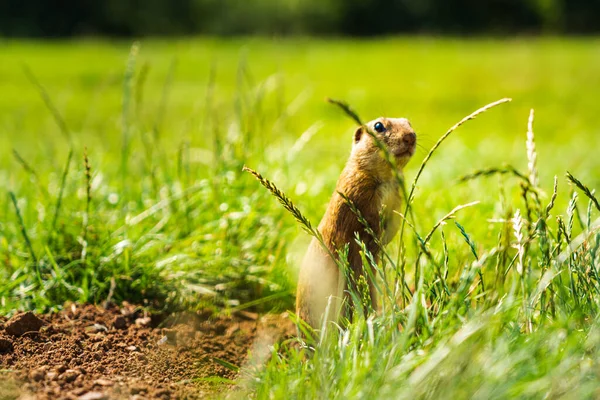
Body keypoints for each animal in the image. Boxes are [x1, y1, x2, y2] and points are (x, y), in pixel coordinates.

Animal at [296, 118, 418, 332]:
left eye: (408, 122)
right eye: (378, 126)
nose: (410, 136)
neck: (386, 179)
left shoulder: (396, 197)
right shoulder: (357, 191)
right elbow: (362, 223)